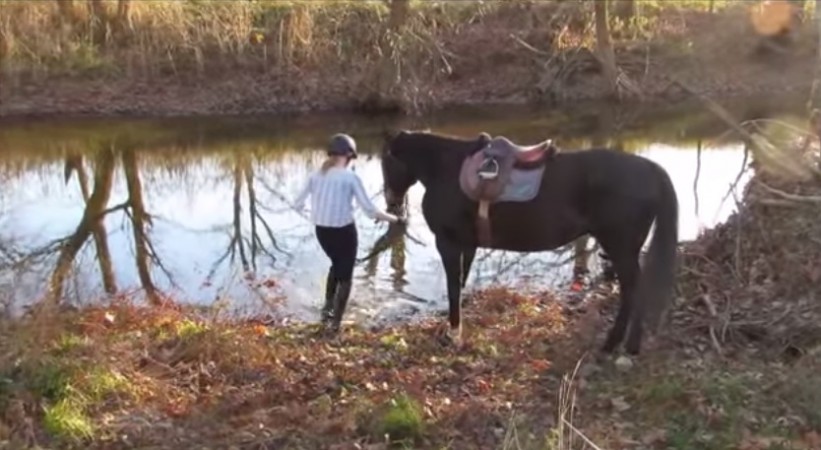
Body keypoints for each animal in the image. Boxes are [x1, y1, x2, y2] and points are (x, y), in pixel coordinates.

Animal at [379, 130, 679, 355]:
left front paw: (453, 335)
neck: (445, 168)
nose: (392, 202)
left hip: (620, 248)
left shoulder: (448, 243)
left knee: (632, 290)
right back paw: (622, 344)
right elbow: (460, 285)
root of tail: (652, 170)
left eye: (386, 162)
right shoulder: (467, 245)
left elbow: (453, 288)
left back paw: (620, 345)